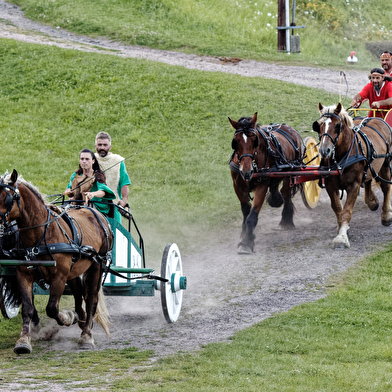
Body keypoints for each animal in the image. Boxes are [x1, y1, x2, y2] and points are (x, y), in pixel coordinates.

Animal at [0, 170, 113, 354]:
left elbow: (52, 308)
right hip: (74, 270)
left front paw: (68, 318)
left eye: (6, 198)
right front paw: (23, 341)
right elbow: (27, 308)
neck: (40, 235)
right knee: (79, 293)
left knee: (91, 299)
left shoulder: (59, 277)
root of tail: (96, 214)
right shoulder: (23, 274)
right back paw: (82, 320)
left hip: (98, 265)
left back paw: (86, 335)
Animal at [228, 113, 304, 254]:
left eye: (255, 140)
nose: (246, 171)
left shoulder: (261, 186)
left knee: (286, 194)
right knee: (276, 188)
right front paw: (244, 235)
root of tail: (287, 127)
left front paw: (246, 243)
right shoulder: (237, 186)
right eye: (235, 142)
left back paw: (286, 220)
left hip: (290, 172)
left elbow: (252, 216)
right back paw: (276, 199)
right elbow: (246, 212)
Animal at [314, 102, 392, 247]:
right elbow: (338, 209)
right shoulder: (330, 186)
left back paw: (386, 215)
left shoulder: (353, 185)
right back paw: (371, 201)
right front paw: (343, 229)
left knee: (386, 187)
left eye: (337, 126)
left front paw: (341, 237)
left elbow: (346, 212)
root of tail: (377, 119)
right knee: (368, 180)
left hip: (385, 163)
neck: (342, 156)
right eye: (319, 125)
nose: (324, 150)